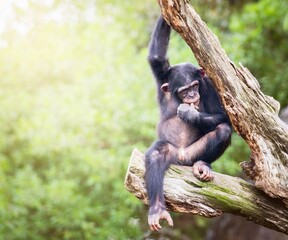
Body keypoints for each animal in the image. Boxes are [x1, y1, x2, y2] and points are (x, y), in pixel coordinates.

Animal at [144, 15, 232, 232]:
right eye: (184, 90)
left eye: (194, 86)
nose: (192, 96)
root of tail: (182, 157)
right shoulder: (161, 75)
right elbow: (156, 57)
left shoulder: (209, 84)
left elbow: (224, 116)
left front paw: (189, 113)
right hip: (172, 152)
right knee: (157, 154)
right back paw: (157, 209)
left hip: (193, 153)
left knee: (223, 130)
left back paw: (203, 165)